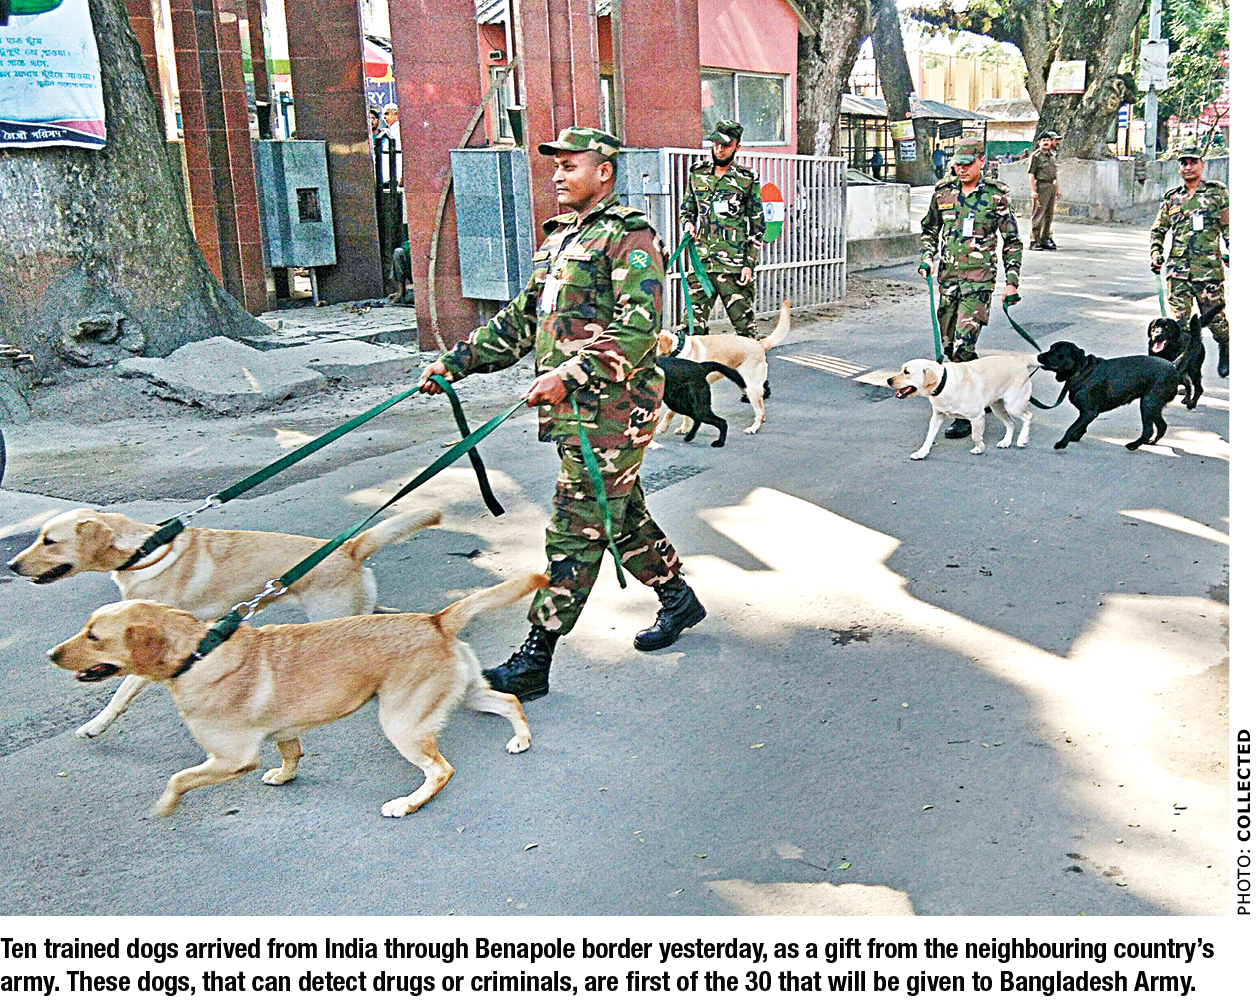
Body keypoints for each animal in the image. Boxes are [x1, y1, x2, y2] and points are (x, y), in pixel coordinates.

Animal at [10, 506, 440, 739]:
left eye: (49, 541)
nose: (11, 565)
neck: (144, 552)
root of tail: (350, 547)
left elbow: (119, 694)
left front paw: (95, 725)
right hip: (357, 610)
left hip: (334, 619)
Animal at [47, 573, 546, 818]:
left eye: (94, 636)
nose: (51, 654)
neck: (198, 651)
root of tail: (436, 620)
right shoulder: (282, 731)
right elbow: (290, 753)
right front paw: (285, 776)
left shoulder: (232, 759)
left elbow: (178, 778)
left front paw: (166, 807)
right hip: (460, 694)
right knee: (509, 702)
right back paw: (521, 739)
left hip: (401, 722)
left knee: (441, 771)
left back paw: (406, 804)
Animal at [655, 298, 790, 434]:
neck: (677, 350)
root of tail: (759, 344)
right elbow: (678, 414)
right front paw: (675, 427)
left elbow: (673, 413)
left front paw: (671, 428)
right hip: (744, 385)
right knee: (761, 408)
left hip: (751, 387)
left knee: (760, 411)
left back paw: (753, 428)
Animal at [887, 356, 1035, 459]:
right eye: (901, 369)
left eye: (907, 372)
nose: (888, 380)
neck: (943, 383)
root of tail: (1020, 360)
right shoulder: (937, 416)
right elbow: (929, 437)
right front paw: (921, 453)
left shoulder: (976, 417)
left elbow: (975, 436)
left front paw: (980, 448)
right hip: (997, 408)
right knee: (1011, 423)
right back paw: (1006, 441)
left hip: (1013, 405)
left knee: (1028, 416)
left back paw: (1022, 440)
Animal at [1036, 341, 1188, 450]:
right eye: (1050, 348)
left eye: (1057, 352)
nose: (1039, 356)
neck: (1081, 370)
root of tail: (1173, 366)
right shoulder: (1087, 413)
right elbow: (1081, 426)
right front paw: (1075, 437)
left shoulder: (1089, 412)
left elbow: (1071, 427)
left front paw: (1062, 443)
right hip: (1153, 406)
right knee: (1162, 426)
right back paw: (1151, 442)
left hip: (1148, 403)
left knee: (1149, 430)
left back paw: (1133, 445)